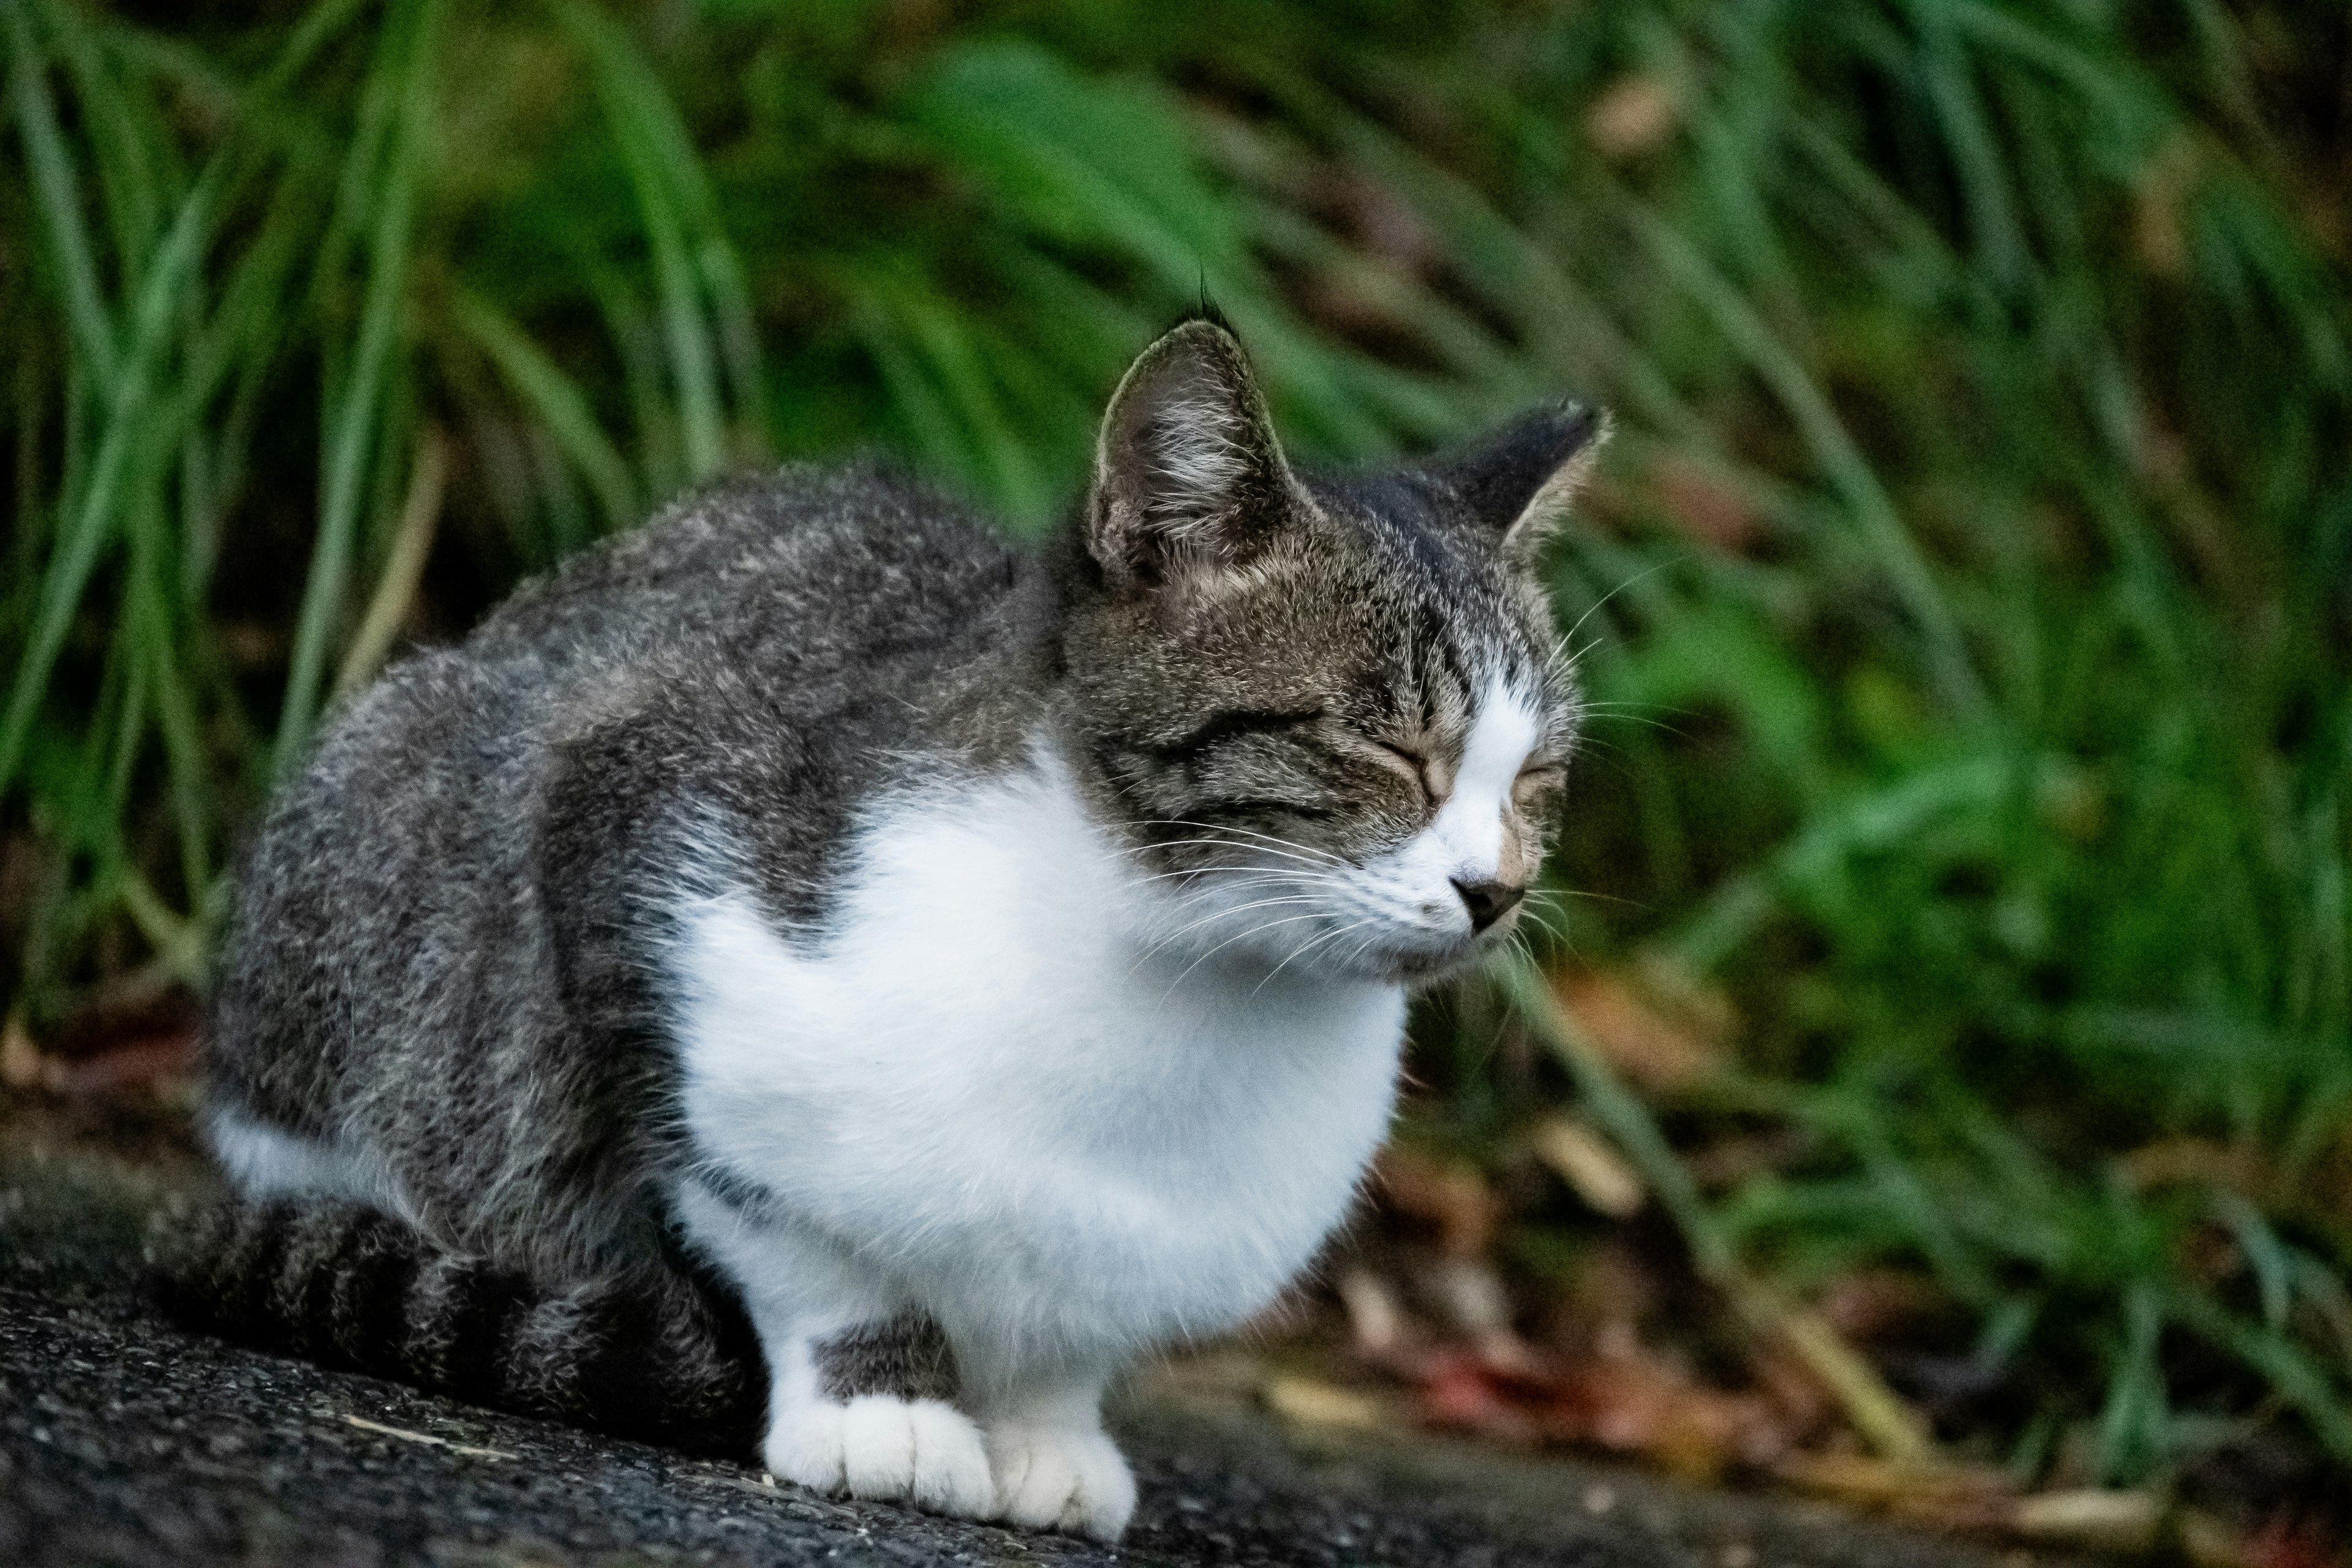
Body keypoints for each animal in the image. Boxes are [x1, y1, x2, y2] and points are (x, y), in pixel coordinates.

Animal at [161, 312, 1599, 1542]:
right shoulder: (626, 831)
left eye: (1538, 780)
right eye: (1390, 746)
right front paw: (885, 1404)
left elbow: (1070, 1337)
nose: (1498, 887)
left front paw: (1046, 1431)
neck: (1190, 984)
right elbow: (799, 1241)